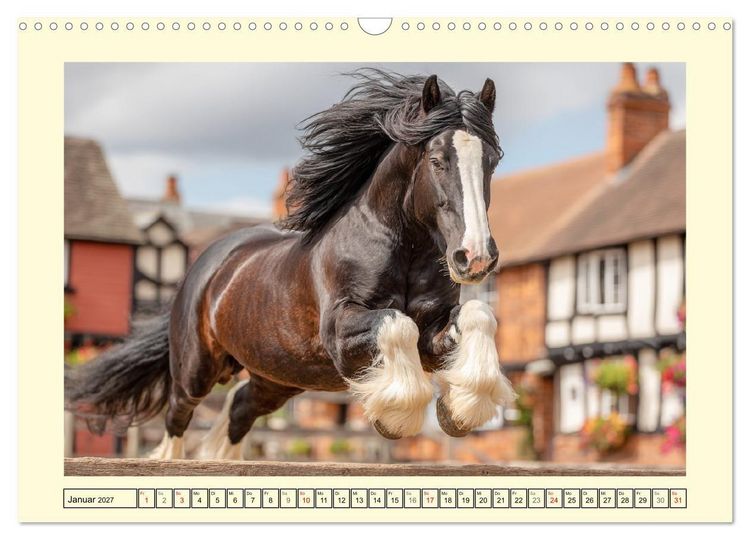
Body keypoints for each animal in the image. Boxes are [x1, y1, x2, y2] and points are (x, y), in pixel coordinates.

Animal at [65, 70, 516, 460]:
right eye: (438, 160)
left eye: (491, 161)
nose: (475, 257)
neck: (400, 249)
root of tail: (205, 265)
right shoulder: (341, 330)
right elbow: (396, 323)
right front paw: (395, 418)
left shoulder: (433, 330)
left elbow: (479, 315)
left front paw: (459, 412)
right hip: (196, 368)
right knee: (178, 414)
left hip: (278, 377)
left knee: (239, 408)